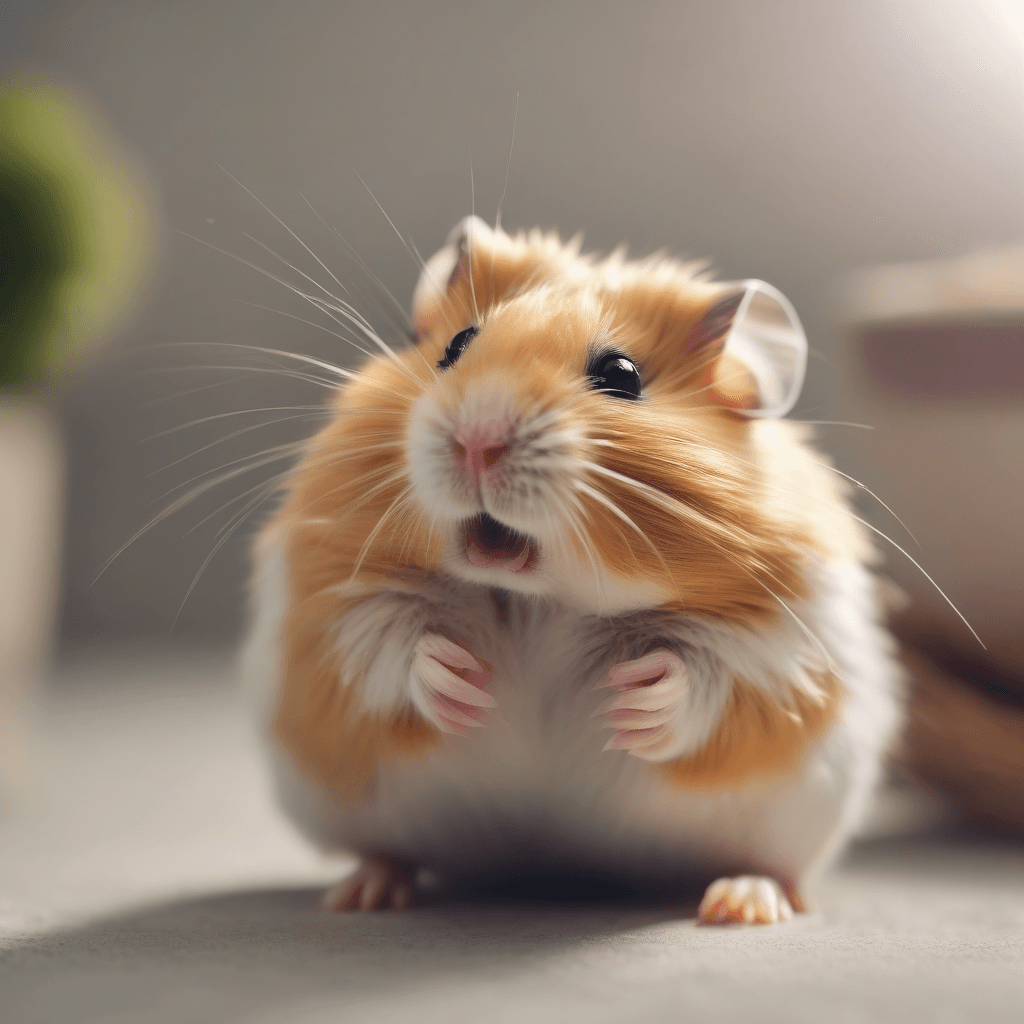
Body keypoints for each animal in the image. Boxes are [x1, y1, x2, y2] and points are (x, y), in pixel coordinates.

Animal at [242, 215, 902, 924]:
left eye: (622, 375)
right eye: (455, 346)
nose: (476, 440)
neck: (540, 597)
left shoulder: (785, 636)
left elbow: (712, 672)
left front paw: (631, 703)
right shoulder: (329, 592)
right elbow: (387, 638)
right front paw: (466, 685)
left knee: (770, 866)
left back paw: (742, 904)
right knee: (387, 851)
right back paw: (363, 894)